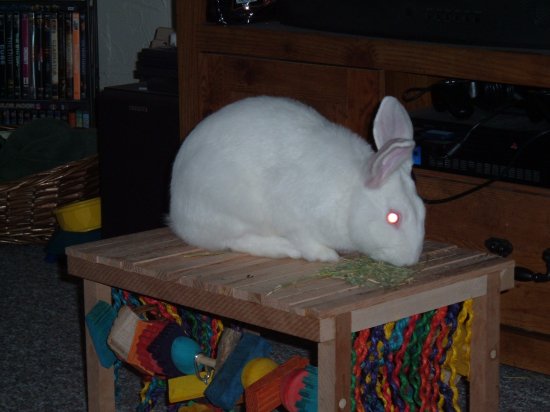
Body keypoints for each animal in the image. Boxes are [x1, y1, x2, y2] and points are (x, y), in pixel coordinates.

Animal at [168, 95, 426, 266]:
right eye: (393, 218)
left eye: (423, 210)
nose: (411, 260)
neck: (351, 196)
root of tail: (177, 215)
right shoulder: (291, 217)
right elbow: (306, 240)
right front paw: (326, 255)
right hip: (231, 211)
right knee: (236, 241)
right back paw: (285, 248)